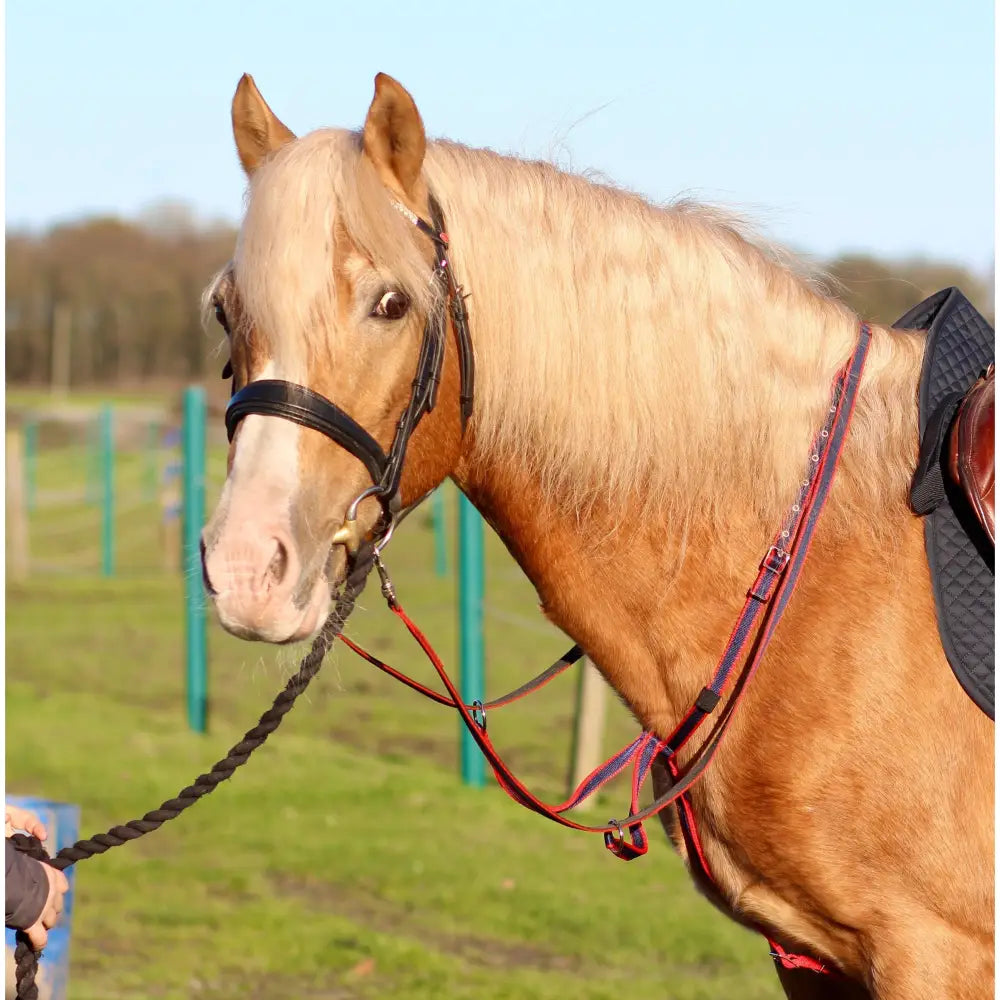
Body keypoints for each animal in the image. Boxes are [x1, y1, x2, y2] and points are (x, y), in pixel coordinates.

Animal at [199, 71, 994, 999]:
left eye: (390, 304)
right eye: (225, 310)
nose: (246, 566)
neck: (823, 571)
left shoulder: (931, 952)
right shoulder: (814, 959)